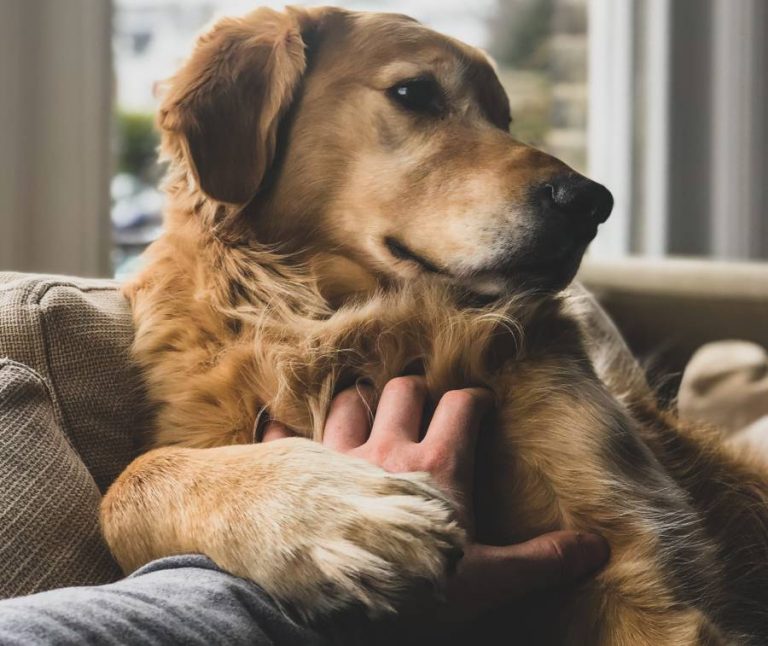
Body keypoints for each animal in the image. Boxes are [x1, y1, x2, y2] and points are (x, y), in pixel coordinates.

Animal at [102, 6, 768, 646]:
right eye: (415, 93)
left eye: (504, 118)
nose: (592, 203)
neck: (352, 319)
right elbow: (129, 484)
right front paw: (337, 514)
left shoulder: (642, 564)